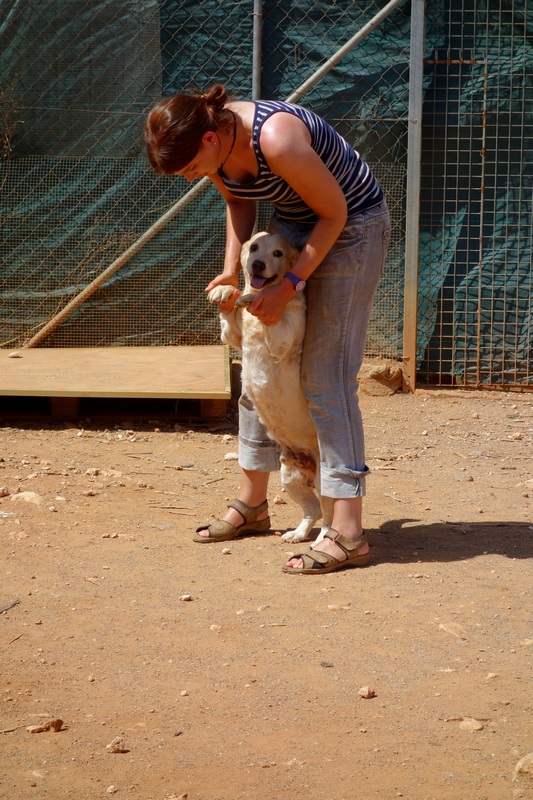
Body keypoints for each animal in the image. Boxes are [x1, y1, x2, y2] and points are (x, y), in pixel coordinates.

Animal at [208, 231, 332, 544]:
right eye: (254, 247)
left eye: (278, 253)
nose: (258, 265)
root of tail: (308, 462)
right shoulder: (234, 337)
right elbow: (229, 319)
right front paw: (225, 293)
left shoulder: (280, 340)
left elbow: (260, 305)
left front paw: (251, 298)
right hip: (290, 476)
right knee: (313, 510)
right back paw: (298, 534)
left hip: (323, 480)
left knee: (329, 513)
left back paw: (323, 540)